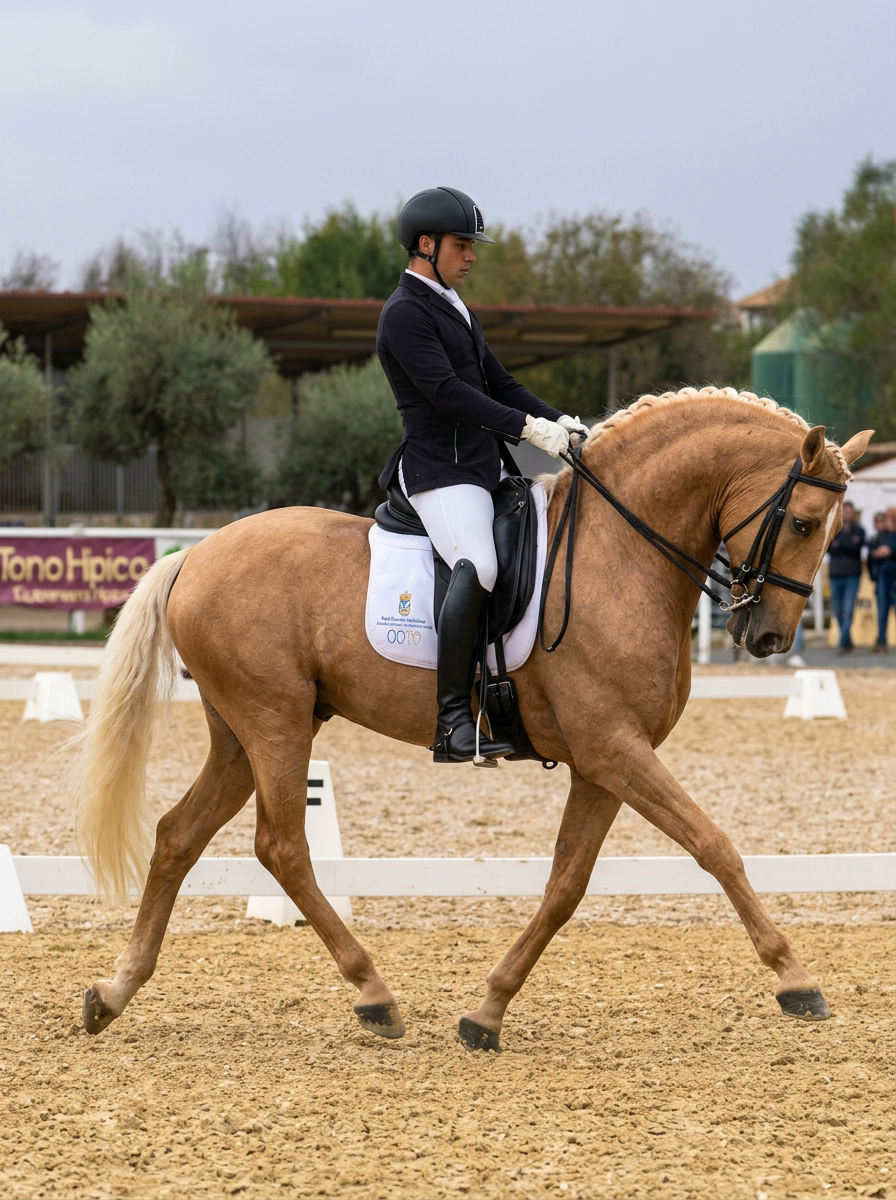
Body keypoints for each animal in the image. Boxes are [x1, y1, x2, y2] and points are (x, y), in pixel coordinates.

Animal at [72, 387, 873, 1051]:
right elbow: (714, 845)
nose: (768, 638)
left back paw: (114, 991)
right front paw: (796, 979)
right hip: (275, 721)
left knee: (178, 835)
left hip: (241, 732)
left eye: (834, 531)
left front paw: (487, 1011)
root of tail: (195, 555)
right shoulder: (614, 748)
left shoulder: (604, 761)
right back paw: (374, 995)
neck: (621, 553)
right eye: (804, 522)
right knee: (283, 847)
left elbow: (566, 884)